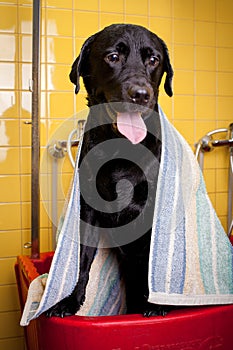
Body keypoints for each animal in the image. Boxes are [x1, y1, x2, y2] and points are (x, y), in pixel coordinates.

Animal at [47, 22, 173, 318]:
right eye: (113, 57)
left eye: (154, 60)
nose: (141, 94)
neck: (122, 147)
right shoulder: (89, 212)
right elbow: (82, 261)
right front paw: (69, 300)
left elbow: (152, 263)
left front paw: (156, 303)